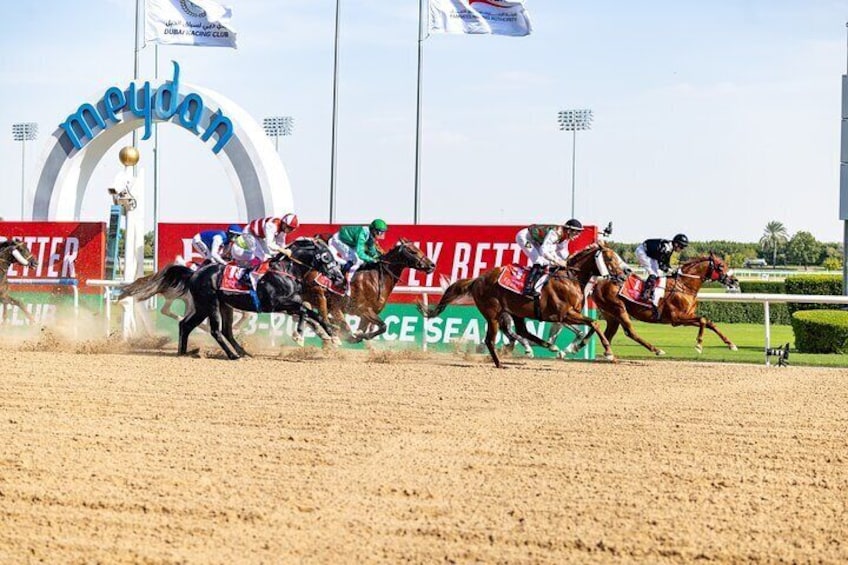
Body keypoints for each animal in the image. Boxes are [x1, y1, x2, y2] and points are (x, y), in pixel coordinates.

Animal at [177, 236, 342, 360]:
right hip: (210, 304)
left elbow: (313, 314)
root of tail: (194, 274)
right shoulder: (277, 303)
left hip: (216, 306)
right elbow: (304, 310)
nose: (340, 277)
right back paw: (233, 355)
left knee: (194, 326)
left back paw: (185, 352)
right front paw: (299, 335)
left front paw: (334, 337)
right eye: (326, 256)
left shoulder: (291, 304)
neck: (286, 271)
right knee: (215, 331)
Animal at [294, 236, 434, 342]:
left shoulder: (367, 315)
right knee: (320, 316)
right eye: (413, 251)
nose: (432, 265)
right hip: (320, 296)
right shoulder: (363, 309)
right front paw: (357, 335)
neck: (377, 278)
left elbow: (367, 330)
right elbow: (383, 326)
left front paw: (359, 335)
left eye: (418, 248)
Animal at [420, 243, 620, 368]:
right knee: (490, 339)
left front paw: (575, 347)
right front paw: (608, 353)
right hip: (493, 314)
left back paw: (550, 347)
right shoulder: (564, 314)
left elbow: (591, 325)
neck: (570, 278)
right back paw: (500, 363)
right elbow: (594, 323)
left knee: (522, 331)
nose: (622, 274)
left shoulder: (570, 315)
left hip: (515, 312)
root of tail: (478, 279)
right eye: (610, 259)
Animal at [588, 253, 744, 354]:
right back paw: (656, 350)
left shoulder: (685, 318)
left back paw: (605, 353)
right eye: (721, 266)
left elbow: (709, 323)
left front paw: (731, 344)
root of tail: (598, 284)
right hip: (619, 309)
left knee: (608, 334)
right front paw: (699, 345)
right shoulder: (676, 317)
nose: (735, 281)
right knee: (630, 332)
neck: (684, 286)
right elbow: (703, 320)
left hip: (611, 316)